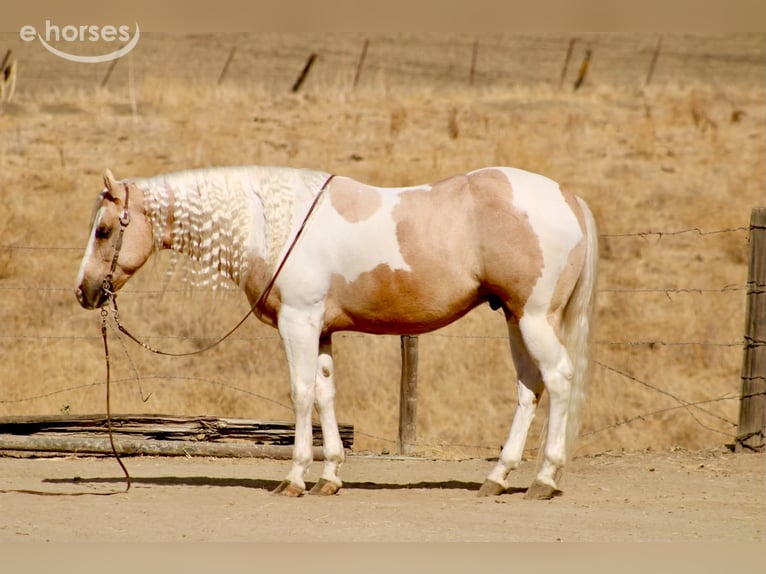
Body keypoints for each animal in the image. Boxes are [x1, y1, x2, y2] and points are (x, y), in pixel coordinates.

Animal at [75, 165, 598, 499]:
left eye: (104, 230)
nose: (83, 291)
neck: (273, 223)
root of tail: (567, 196)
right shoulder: (321, 331)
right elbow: (326, 394)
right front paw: (330, 476)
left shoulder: (298, 323)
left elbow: (301, 393)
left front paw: (295, 478)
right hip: (514, 318)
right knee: (529, 389)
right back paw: (498, 477)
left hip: (533, 318)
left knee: (559, 380)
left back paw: (544, 480)